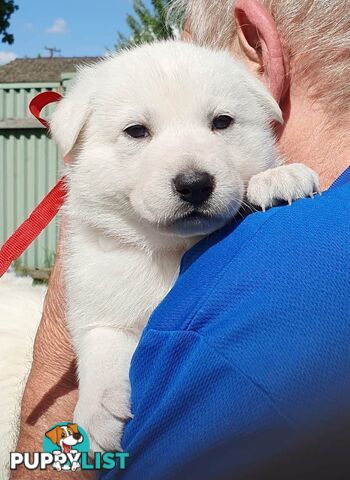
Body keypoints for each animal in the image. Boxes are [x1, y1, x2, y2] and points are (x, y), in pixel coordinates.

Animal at [50, 39, 320, 452]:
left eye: (222, 122)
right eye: (136, 131)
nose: (195, 184)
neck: (170, 248)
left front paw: (278, 176)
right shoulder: (95, 294)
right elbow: (101, 340)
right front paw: (96, 410)